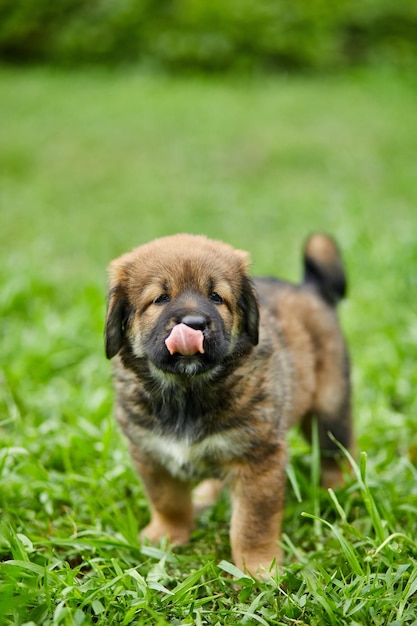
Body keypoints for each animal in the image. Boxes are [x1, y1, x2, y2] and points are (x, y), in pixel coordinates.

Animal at [104, 233, 352, 576]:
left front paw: (258, 568)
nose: (194, 323)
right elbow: (167, 501)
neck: (187, 393)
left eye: (216, 297)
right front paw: (167, 535)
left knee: (337, 452)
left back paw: (341, 490)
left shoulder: (258, 458)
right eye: (161, 299)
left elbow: (252, 523)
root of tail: (310, 287)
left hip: (330, 406)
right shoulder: (150, 452)